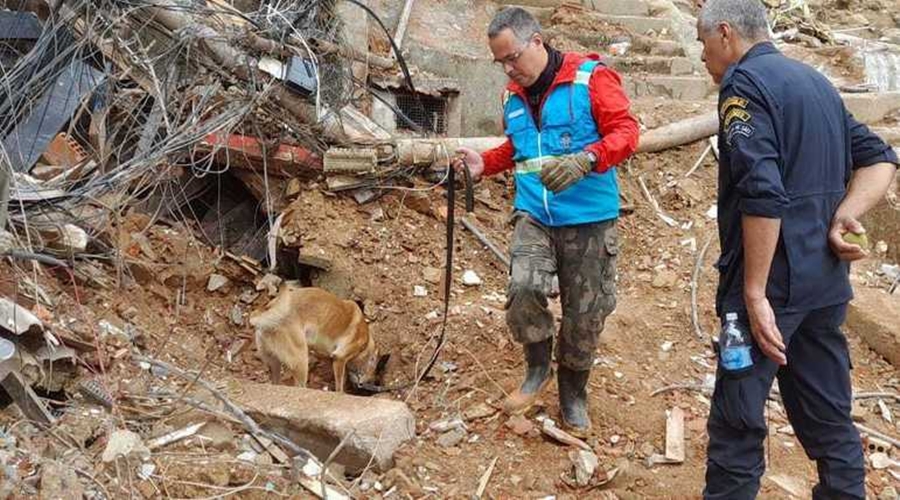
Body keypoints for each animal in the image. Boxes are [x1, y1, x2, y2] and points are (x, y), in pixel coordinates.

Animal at [250, 284, 384, 392]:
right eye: (373, 368)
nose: (371, 384)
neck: (365, 344)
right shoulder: (340, 358)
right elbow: (340, 387)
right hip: (301, 362)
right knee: (300, 386)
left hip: (274, 364)